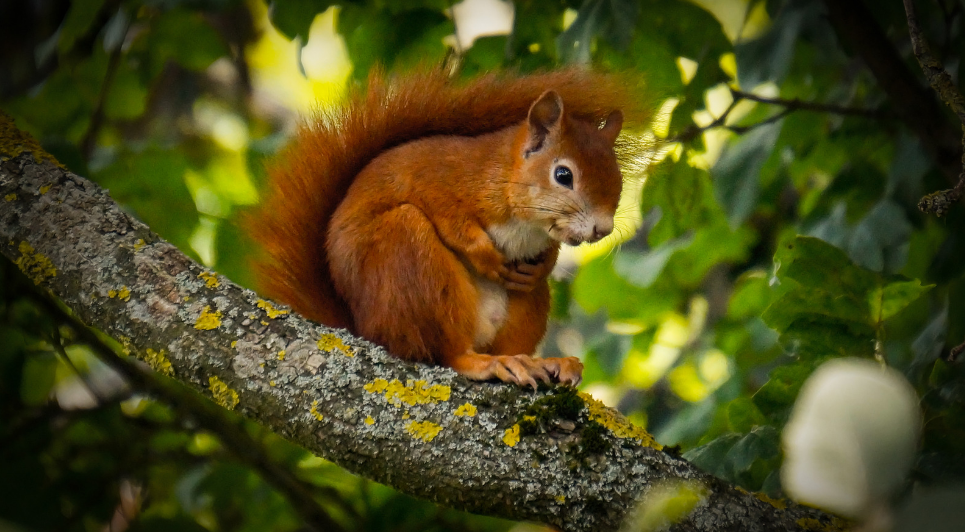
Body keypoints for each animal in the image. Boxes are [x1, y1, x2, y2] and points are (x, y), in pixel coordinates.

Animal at [252, 68, 652, 388]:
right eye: (563, 175)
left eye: (617, 179)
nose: (602, 229)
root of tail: (364, 327)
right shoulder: (433, 179)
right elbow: (451, 221)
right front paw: (485, 256)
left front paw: (545, 263)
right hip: (407, 259)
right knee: (445, 353)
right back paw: (485, 363)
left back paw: (538, 361)